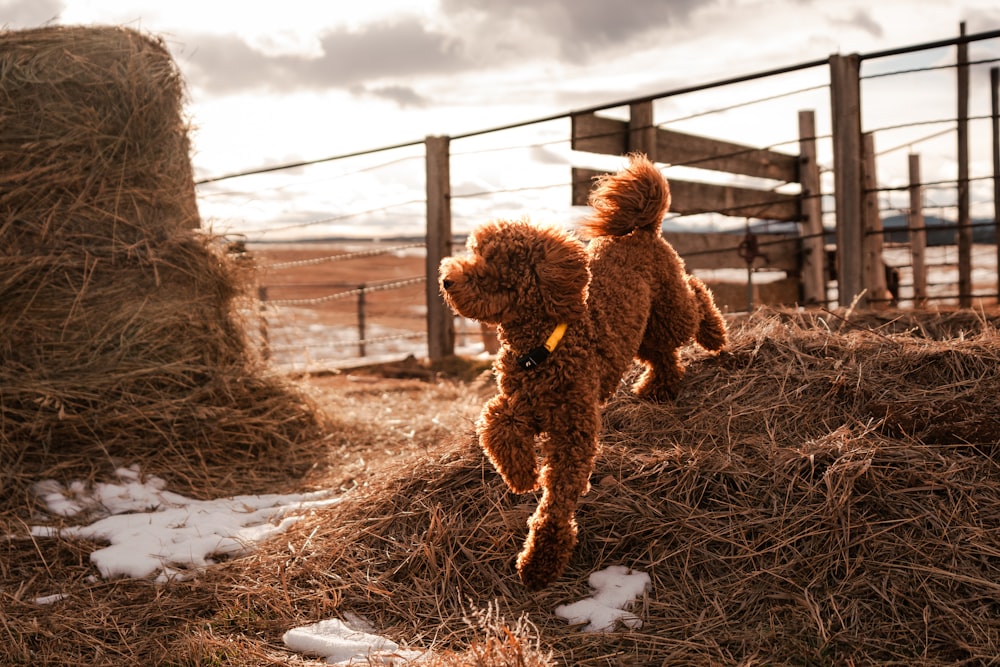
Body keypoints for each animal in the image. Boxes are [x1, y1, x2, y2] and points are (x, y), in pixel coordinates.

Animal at [438, 153, 728, 588]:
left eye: (493, 267)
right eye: (472, 251)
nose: (446, 279)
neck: (543, 345)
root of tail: (641, 231)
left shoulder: (572, 433)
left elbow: (557, 499)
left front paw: (541, 560)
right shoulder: (520, 403)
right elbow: (494, 424)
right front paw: (521, 476)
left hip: (669, 308)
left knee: (695, 295)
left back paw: (713, 333)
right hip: (641, 330)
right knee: (664, 356)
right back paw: (656, 388)